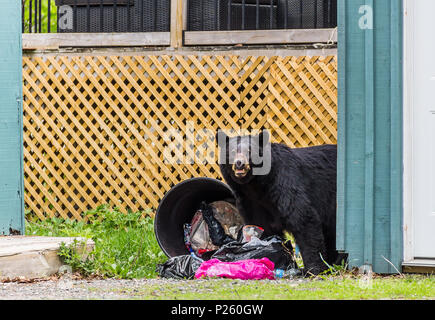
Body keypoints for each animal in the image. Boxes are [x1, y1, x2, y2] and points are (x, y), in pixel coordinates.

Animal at [218, 130, 340, 276]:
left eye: (250, 151)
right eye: (231, 151)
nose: (239, 163)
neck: (257, 185)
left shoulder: (285, 183)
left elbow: (303, 218)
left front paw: (314, 268)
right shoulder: (251, 201)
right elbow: (261, 225)